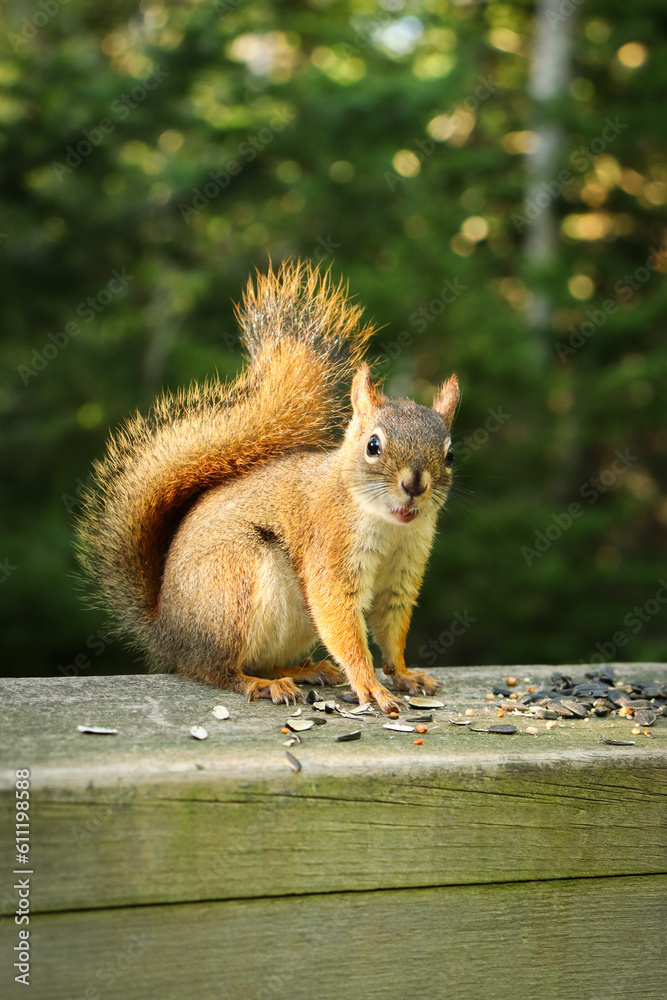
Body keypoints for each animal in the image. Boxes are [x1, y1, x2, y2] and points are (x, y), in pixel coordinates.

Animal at [76, 261, 459, 715]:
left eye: (450, 455)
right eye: (373, 445)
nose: (414, 484)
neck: (389, 526)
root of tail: (169, 634)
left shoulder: (403, 568)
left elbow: (392, 624)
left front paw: (403, 675)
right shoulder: (330, 546)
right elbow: (340, 616)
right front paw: (371, 687)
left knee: (261, 660)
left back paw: (303, 671)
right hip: (234, 586)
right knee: (216, 670)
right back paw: (259, 684)